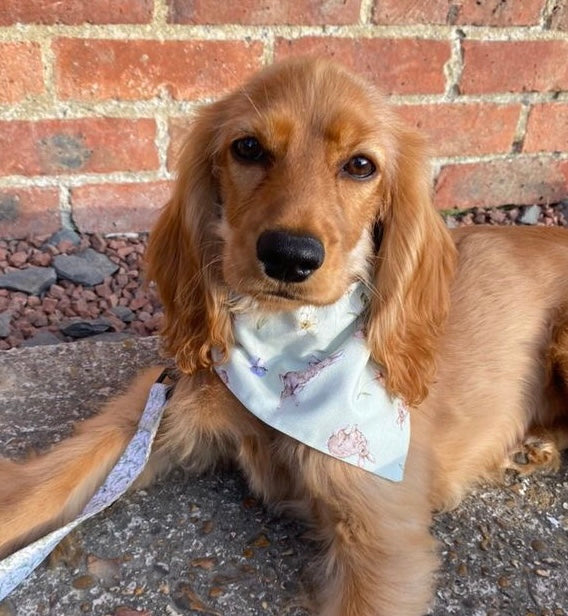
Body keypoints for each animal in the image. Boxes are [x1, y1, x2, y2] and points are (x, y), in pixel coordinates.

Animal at [1, 55, 568, 612]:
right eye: (248, 147)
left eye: (361, 165)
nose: (289, 256)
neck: (285, 348)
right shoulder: (158, 409)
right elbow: (50, 482)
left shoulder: (384, 533)